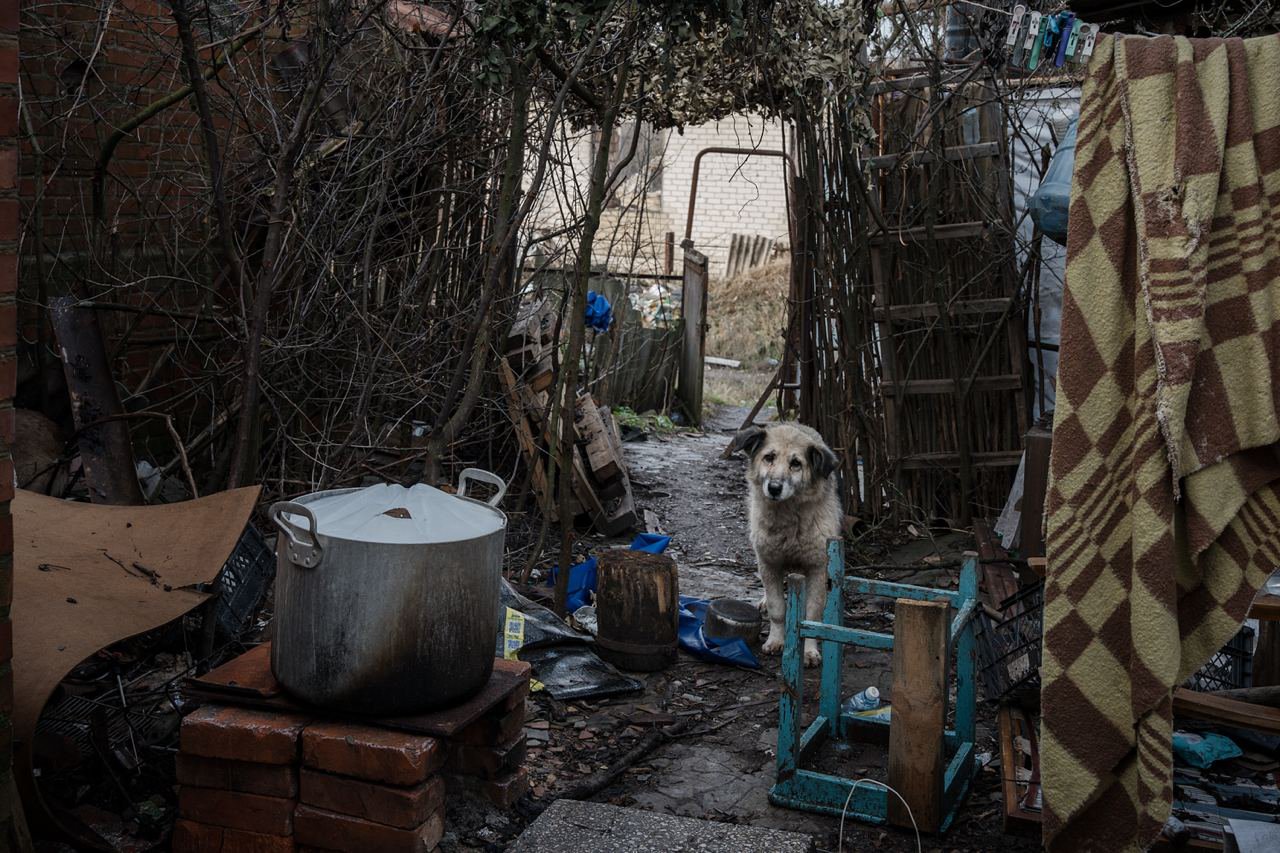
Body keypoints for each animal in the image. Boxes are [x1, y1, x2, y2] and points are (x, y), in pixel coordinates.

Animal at [732, 422, 839, 666]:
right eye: (769, 457)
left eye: (796, 464)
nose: (774, 488)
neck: (788, 517)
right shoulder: (769, 563)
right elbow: (777, 608)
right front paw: (776, 640)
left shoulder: (817, 567)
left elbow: (812, 615)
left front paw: (809, 651)